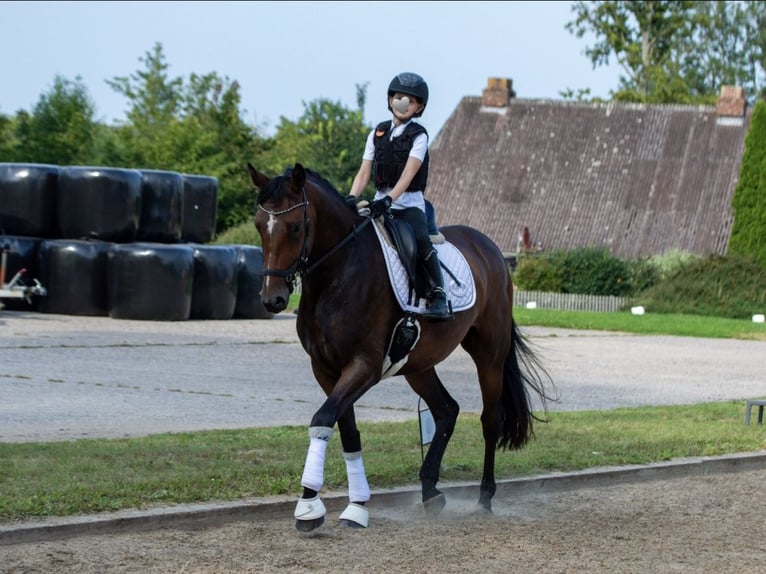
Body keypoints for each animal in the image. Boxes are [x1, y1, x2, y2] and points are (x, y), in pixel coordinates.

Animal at [247, 162, 554, 531]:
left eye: (294, 227)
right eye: (259, 225)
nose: (272, 299)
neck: (339, 273)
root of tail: (489, 248)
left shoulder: (364, 366)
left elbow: (322, 419)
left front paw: (309, 505)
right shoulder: (325, 369)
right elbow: (346, 430)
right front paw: (356, 506)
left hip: (489, 354)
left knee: (489, 420)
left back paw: (484, 497)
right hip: (418, 365)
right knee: (446, 410)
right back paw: (430, 491)